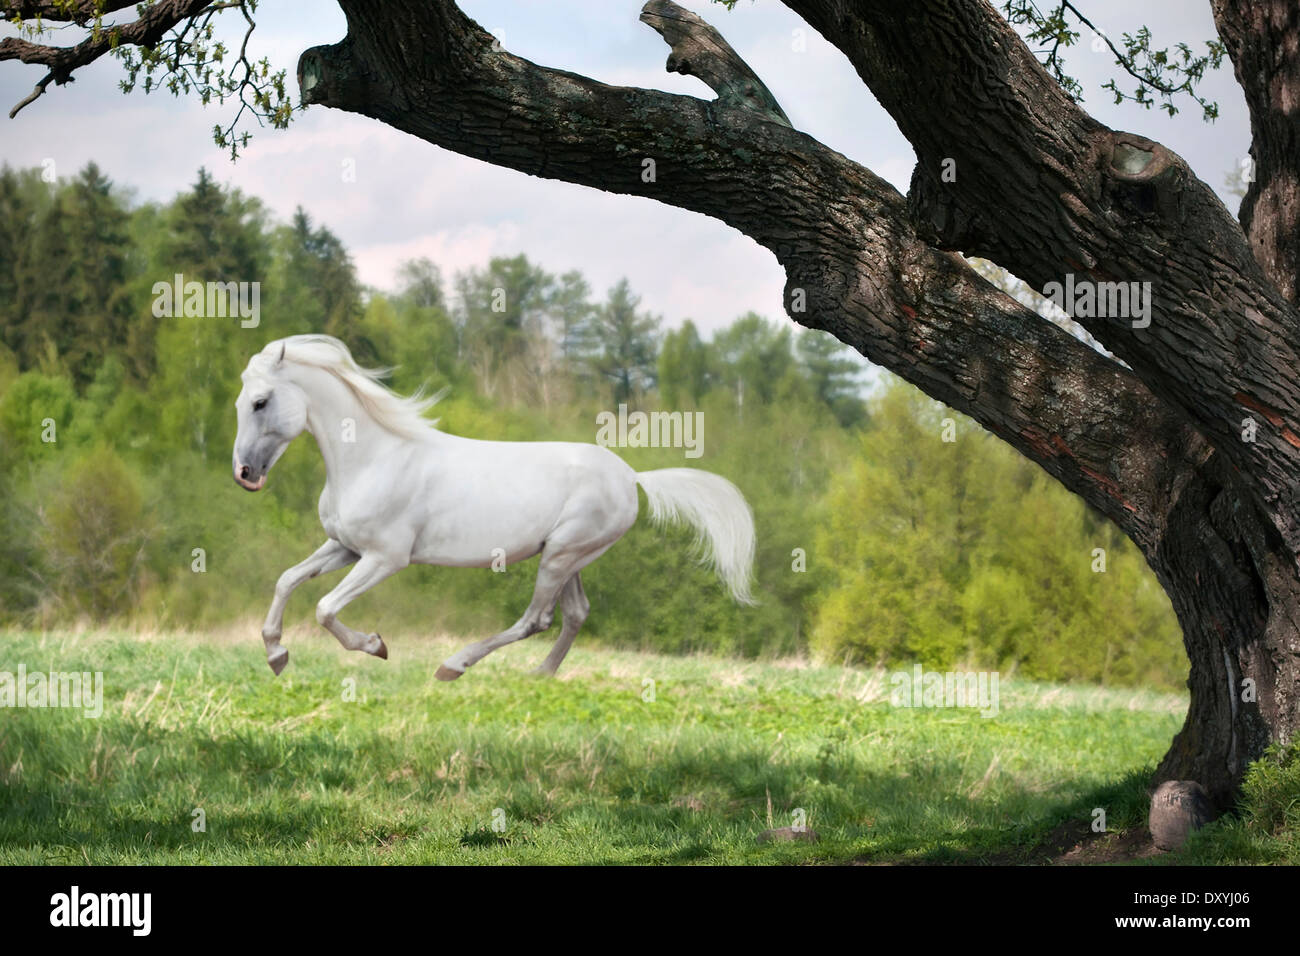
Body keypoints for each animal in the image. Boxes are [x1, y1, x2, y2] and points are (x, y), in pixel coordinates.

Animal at [232, 334, 756, 680]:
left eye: (260, 402)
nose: (245, 474)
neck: (375, 457)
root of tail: (631, 477)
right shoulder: (344, 547)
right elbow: (287, 580)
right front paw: (276, 655)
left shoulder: (385, 558)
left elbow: (324, 608)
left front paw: (375, 646)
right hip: (570, 557)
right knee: (576, 613)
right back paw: (540, 676)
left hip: (562, 554)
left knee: (537, 619)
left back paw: (454, 666)